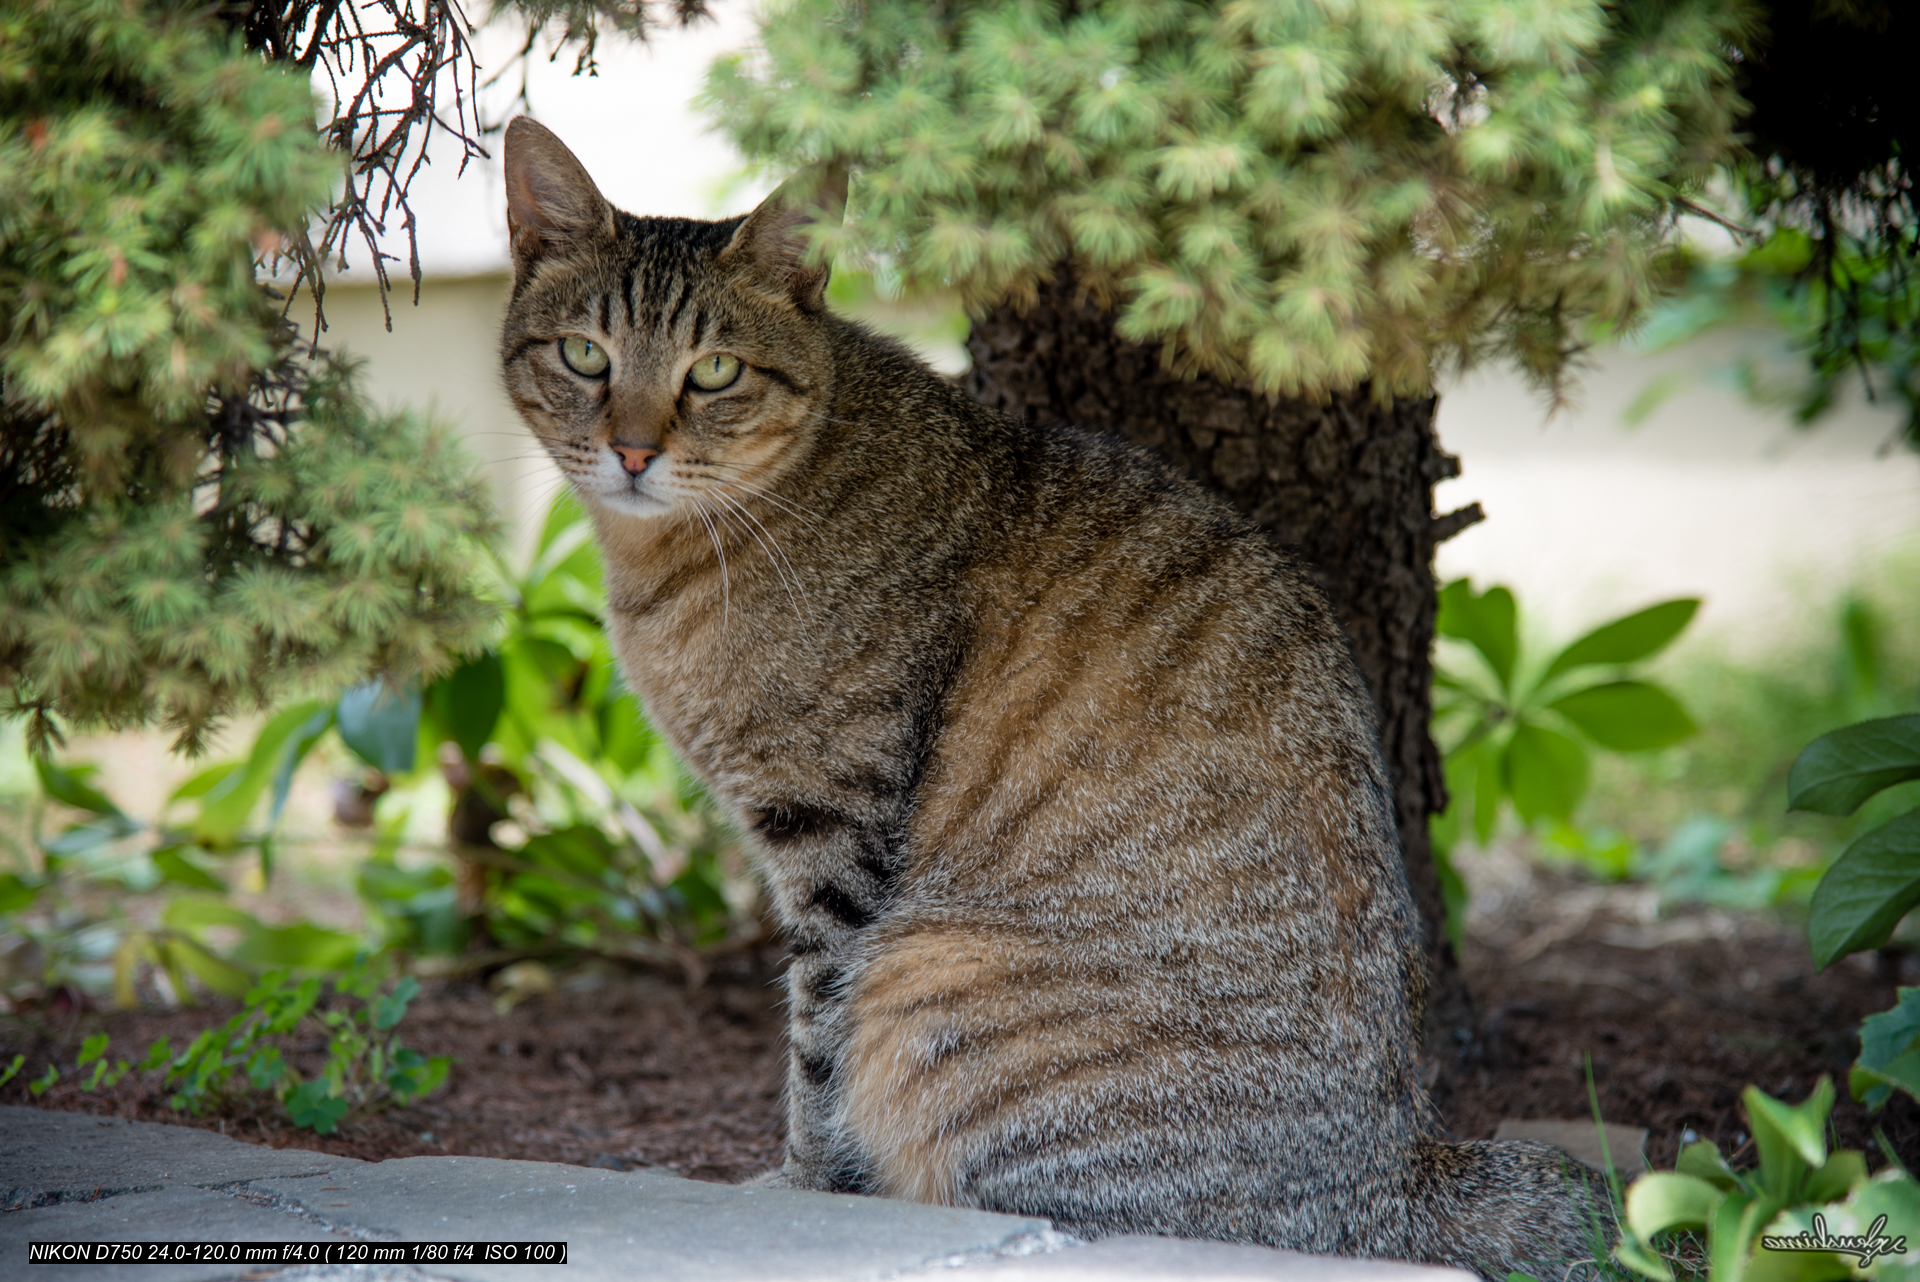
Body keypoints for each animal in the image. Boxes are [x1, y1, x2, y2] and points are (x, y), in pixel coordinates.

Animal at [495, 117, 1605, 1274]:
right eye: (585, 355)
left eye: (713, 371)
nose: (632, 449)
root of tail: (1397, 1169)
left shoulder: (834, 837)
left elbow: (814, 1047)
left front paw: (802, 1187)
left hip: (928, 977)